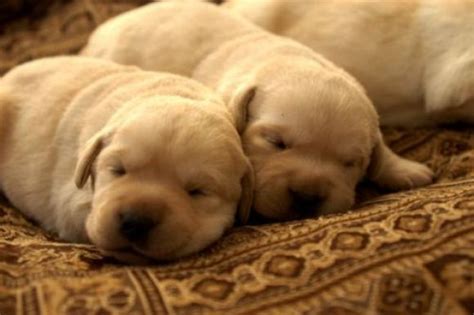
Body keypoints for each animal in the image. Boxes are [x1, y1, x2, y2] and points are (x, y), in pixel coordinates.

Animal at [81, 1, 434, 221]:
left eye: (350, 163)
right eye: (276, 142)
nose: (307, 196)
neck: (278, 58)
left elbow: (381, 143)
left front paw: (403, 167)